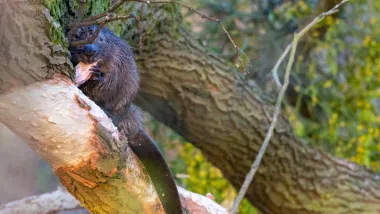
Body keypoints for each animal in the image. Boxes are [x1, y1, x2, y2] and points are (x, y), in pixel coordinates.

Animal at [69, 25, 183, 214]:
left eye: (101, 39)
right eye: (78, 36)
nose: (89, 50)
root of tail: (134, 126)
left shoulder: (118, 61)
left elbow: (110, 83)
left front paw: (97, 74)